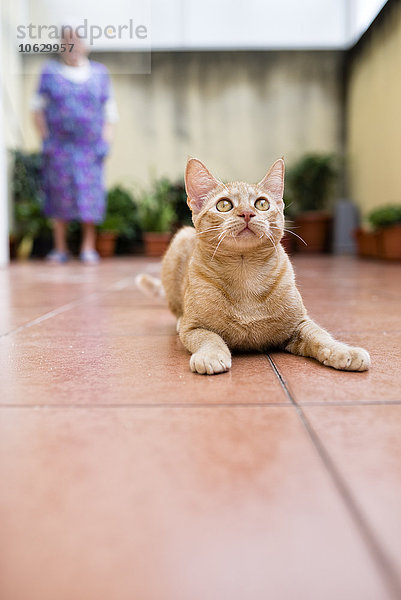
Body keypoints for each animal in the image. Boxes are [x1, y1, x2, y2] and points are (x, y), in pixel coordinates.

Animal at [138, 159, 368, 376]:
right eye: (224, 205)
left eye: (262, 204)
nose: (247, 213)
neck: (245, 273)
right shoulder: (194, 327)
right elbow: (209, 338)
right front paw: (210, 355)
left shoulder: (300, 324)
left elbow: (321, 336)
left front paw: (344, 351)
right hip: (179, 242)